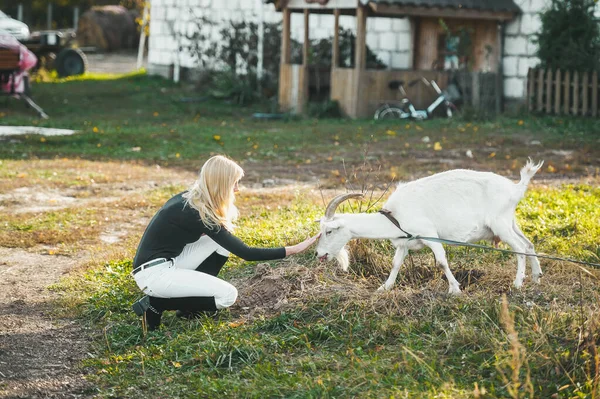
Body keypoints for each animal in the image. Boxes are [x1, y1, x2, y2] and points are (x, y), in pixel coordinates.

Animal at [316, 159, 548, 294]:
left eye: (329, 231)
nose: (319, 254)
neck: (395, 216)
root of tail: (516, 189)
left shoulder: (429, 234)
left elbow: (441, 261)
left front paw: (455, 289)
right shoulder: (404, 242)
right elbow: (396, 264)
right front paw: (385, 287)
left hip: (500, 224)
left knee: (519, 247)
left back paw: (517, 283)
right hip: (510, 222)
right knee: (528, 244)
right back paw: (536, 277)